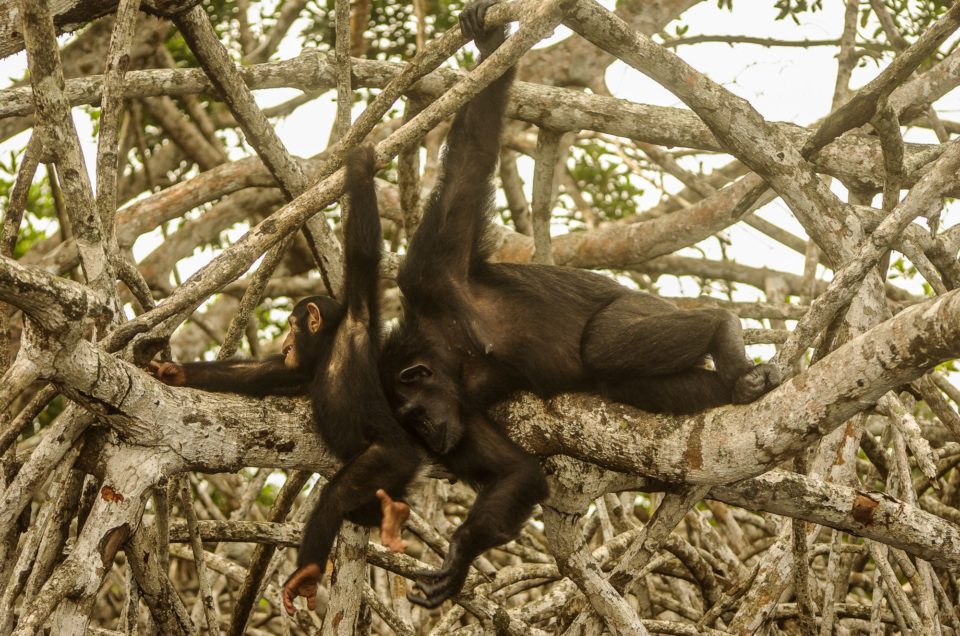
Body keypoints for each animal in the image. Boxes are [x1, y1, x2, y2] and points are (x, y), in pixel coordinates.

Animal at [149, 145, 416, 616]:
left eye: (292, 325)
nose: (288, 340)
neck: (329, 347)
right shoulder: (303, 365)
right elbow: (269, 373)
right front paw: (174, 371)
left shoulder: (358, 319)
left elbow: (363, 253)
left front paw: (361, 164)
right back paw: (391, 519)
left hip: (391, 456)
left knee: (339, 496)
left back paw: (308, 574)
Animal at [372, 0, 784, 608]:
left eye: (415, 416)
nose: (427, 439)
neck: (447, 355)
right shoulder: (462, 416)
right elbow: (515, 475)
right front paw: (460, 558)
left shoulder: (431, 268)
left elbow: (470, 160)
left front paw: (488, 45)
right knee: (628, 382)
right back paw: (735, 387)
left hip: (637, 308)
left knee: (605, 348)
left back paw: (722, 326)